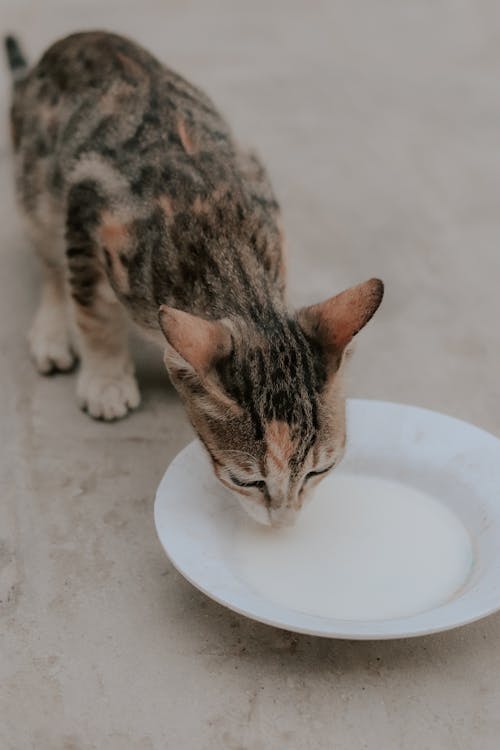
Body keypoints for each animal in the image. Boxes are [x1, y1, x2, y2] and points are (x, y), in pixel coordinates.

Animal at [4, 32, 382, 528]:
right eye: (248, 481)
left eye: (320, 470)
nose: (283, 522)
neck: (225, 248)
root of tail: (69, 43)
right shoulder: (88, 203)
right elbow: (93, 312)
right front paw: (106, 380)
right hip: (40, 187)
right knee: (50, 262)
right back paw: (51, 333)